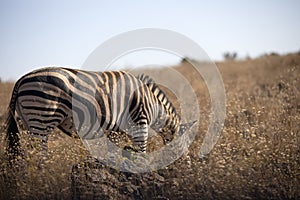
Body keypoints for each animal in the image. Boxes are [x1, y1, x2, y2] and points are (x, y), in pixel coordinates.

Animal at [4, 67, 180, 158]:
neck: (153, 105)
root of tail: (21, 79)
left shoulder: (116, 131)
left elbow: (115, 155)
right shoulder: (140, 122)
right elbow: (142, 154)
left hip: (28, 121)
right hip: (42, 117)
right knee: (40, 155)